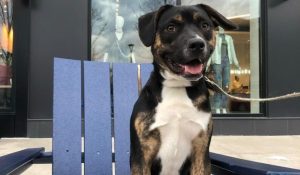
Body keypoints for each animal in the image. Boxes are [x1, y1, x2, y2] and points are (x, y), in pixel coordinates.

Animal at [130, 4, 238, 175]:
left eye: (205, 25)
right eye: (171, 27)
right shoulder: (142, 154)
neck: (178, 86)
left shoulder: (201, 151)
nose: (197, 44)